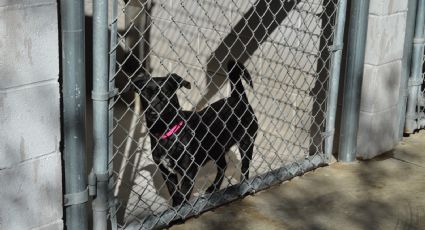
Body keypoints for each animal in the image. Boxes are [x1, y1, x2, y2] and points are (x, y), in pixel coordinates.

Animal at [134, 60, 256, 205]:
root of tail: (238, 98)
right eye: (144, 94)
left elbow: (183, 195)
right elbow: (174, 192)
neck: (167, 132)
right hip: (216, 149)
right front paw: (174, 207)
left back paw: (243, 187)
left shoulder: (189, 171)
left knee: (245, 167)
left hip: (246, 142)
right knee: (223, 166)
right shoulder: (166, 172)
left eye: (165, 93)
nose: (152, 112)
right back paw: (214, 187)